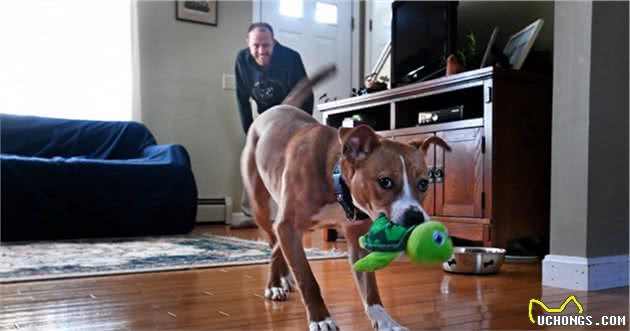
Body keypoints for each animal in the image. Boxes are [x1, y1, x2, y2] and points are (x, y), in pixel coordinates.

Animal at [239, 65, 452, 331]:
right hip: (261, 206)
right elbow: (308, 279)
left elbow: (370, 288)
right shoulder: (288, 224)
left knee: (278, 244)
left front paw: (384, 319)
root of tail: (274, 108)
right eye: (385, 181)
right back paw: (275, 284)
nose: (415, 217)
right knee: (272, 238)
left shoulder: (354, 238)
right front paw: (321, 318)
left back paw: (283, 278)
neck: (336, 182)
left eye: (424, 183)